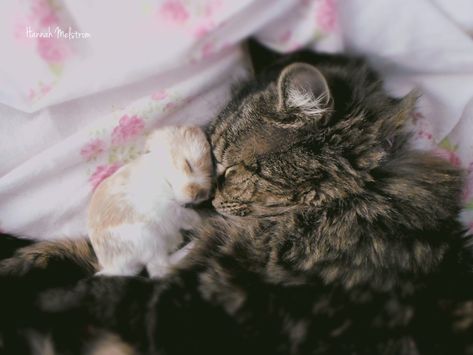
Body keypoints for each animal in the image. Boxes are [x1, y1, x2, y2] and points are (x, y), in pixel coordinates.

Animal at [87, 126, 212, 280]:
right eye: (188, 165)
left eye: (210, 172)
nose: (199, 194)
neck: (164, 177)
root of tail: (116, 268)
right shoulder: (173, 211)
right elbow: (192, 217)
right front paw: (203, 219)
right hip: (149, 240)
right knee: (160, 269)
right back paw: (194, 244)